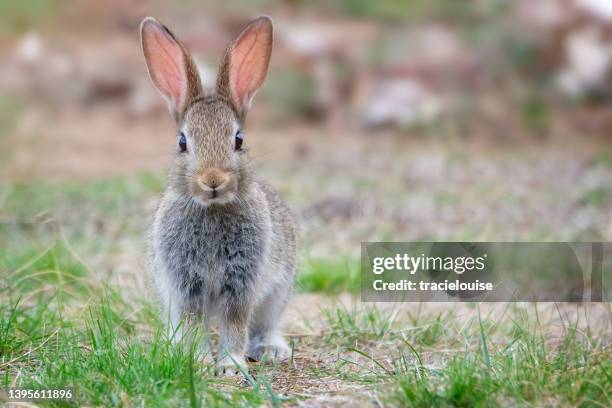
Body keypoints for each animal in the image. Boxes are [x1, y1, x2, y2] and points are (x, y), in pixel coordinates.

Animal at [142, 15, 298, 376]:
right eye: (182, 142)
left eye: (238, 140)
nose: (213, 180)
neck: (212, 209)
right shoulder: (185, 285)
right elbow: (193, 322)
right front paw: (197, 360)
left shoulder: (241, 282)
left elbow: (235, 322)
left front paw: (229, 365)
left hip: (278, 291)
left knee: (265, 323)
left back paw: (271, 349)